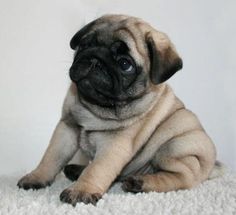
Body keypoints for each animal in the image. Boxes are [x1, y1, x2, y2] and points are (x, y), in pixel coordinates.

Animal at [17, 14, 222, 206]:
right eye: (85, 45)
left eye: (125, 64)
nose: (95, 59)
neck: (96, 108)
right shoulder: (67, 128)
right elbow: (51, 157)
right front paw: (37, 177)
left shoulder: (114, 146)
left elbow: (97, 169)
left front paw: (81, 191)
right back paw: (77, 170)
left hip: (175, 147)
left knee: (182, 178)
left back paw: (141, 182)